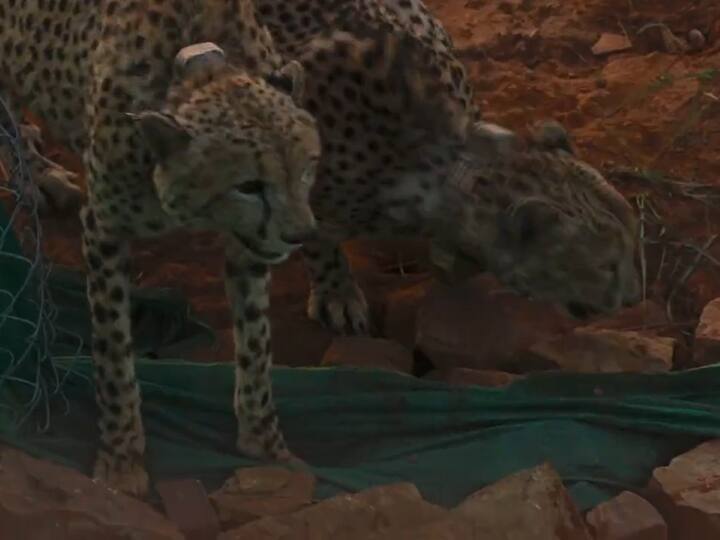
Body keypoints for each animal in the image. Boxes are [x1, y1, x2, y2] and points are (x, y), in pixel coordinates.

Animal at [0, 0, 323, 496]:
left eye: (306, 168)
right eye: (249, 185)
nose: (298, 234)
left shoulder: (248, 248)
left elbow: (256, 344)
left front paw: (266, 443)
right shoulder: (104, 229)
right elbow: (113, 352)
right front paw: (121, 457)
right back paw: (35, 176)